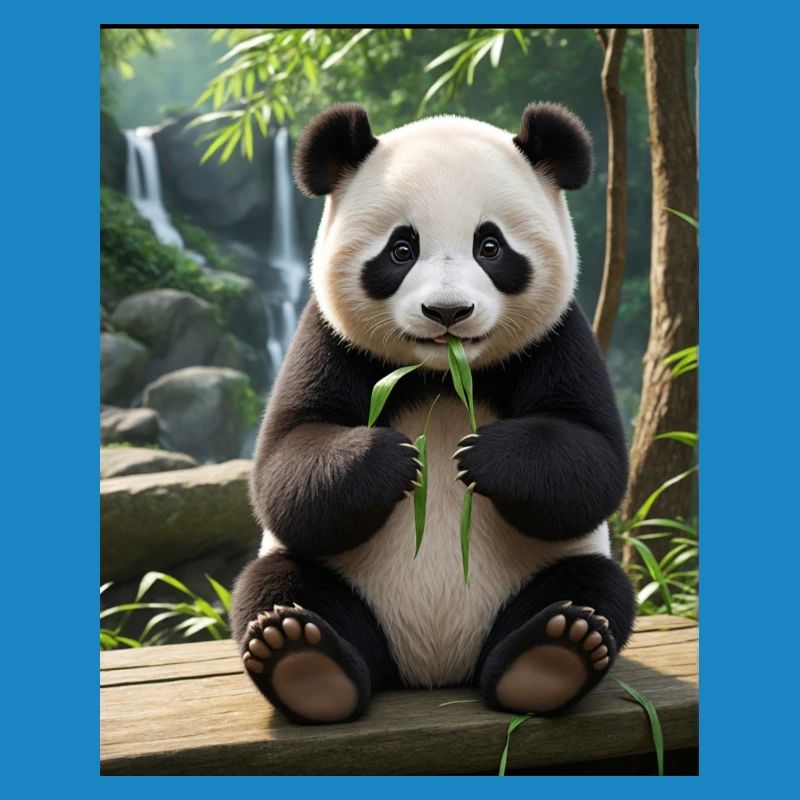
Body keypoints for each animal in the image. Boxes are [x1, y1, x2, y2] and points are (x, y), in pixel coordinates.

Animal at [231, 102, 635, 725]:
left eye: (490, 246)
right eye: (402, 250)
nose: (448, 311)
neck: (444, 374)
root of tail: (434, 668)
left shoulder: (559, 336)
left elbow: (592, 460)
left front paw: (482, 457)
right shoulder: (327, 338)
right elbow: (286, 465)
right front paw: (394, 459)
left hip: (543, 573)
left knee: (595, 587)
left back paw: (552, 656)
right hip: (341, 584)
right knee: (278, 583)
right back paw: (303, 661)